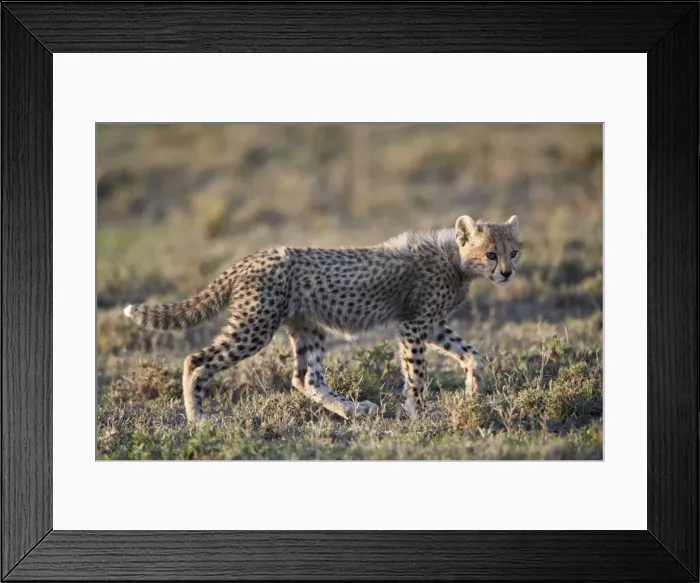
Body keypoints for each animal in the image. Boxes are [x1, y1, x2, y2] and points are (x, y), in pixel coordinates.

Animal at [123, 214, 523, 424]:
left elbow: (472, 353)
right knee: (196, 360)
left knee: (306, 378)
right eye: (491, 254)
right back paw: (198, 419)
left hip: (306, 326)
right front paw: (419, 414)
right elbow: (417, 374)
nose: (506, 273)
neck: (455, 259)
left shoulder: (433, 323)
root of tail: (255, 256)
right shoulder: (413, 324)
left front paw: (473, 393)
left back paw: (354, 410)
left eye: (514, 252)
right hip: (255, 326)